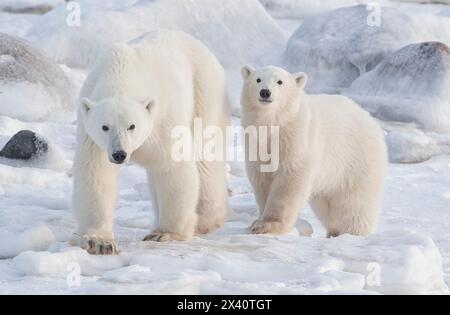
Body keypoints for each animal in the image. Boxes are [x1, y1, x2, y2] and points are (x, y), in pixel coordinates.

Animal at [73, 30, 232, 256]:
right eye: (105, 127)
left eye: (132, 126)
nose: (119, 154)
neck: (122, 69)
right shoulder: (92, 136)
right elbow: (95, 172)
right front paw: (99, 242)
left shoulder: (162, 119)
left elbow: (173, 167)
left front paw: (164, 233)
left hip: (205, 91)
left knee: (206, 153)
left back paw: (205, 219)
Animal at [243, 66, 386, 237]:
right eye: (258, 79)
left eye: (280, 81)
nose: (265, 92)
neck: (276, 122)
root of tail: (370, 120)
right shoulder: (256, 143)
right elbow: (262, 178)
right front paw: (260, 221)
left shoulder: (297, 138)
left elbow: (290, 178)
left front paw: (267, 225)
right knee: (325, 206)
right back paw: (333, 232)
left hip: (357, 160)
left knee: (356, 204)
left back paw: (354, 232)